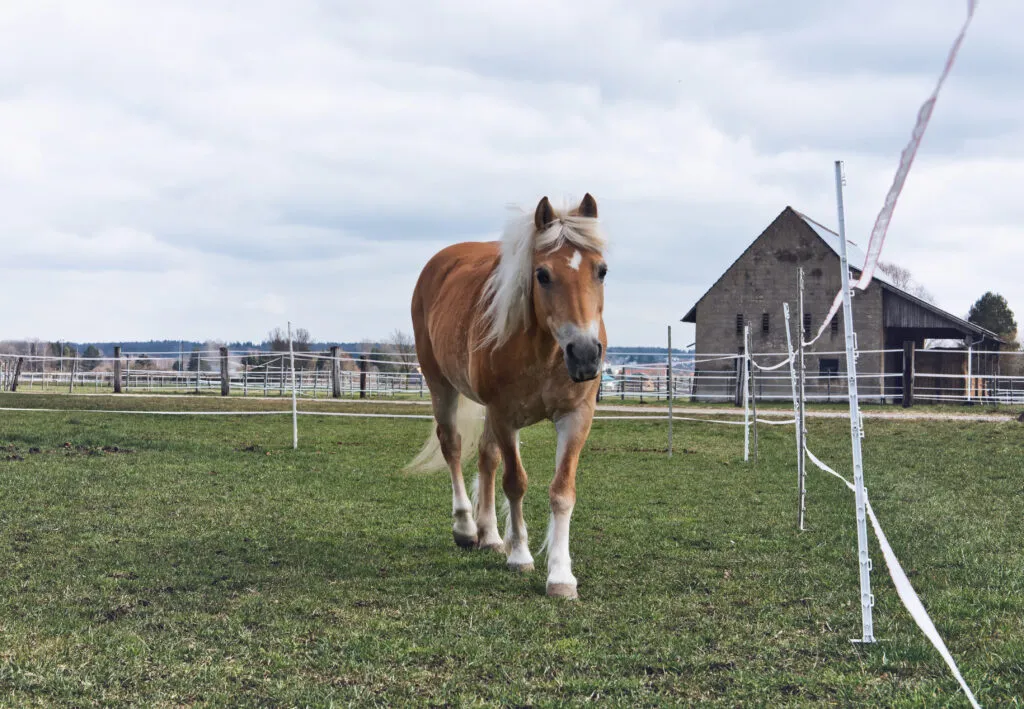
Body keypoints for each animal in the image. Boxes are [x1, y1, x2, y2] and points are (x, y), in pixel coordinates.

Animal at [401, 192, 606, 598]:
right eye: (542, 275)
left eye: (601, 270)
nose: (585, 354)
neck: (545, 350)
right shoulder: (504, 415)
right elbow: (515, 482)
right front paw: (521, 556)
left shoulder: (576, 417)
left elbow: (562, 490)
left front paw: (560, 575)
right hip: (441, 386)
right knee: (453, 447)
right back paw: (466, 528)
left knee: (486, 457)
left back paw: (491, 535)